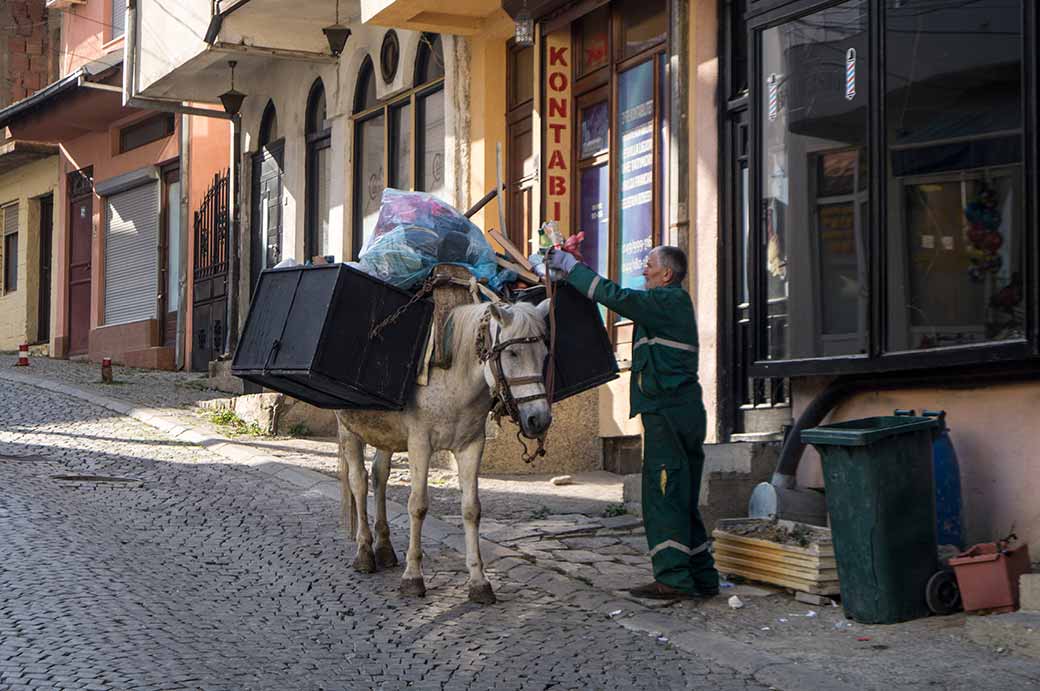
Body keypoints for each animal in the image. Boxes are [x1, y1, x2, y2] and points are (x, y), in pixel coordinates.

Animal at [336, 299, 557, 603]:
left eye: (544, 353)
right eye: (512, 353)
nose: (540, 419)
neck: (453, 376)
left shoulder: (471, 446)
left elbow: (471, 509)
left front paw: (479, 581)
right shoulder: (420, 444)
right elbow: (417, 505)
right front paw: (413, 576)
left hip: (386, 434)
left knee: (380, 476)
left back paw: (384, 547)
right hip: (348, 428)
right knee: (359, 482)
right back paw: (365, 552)